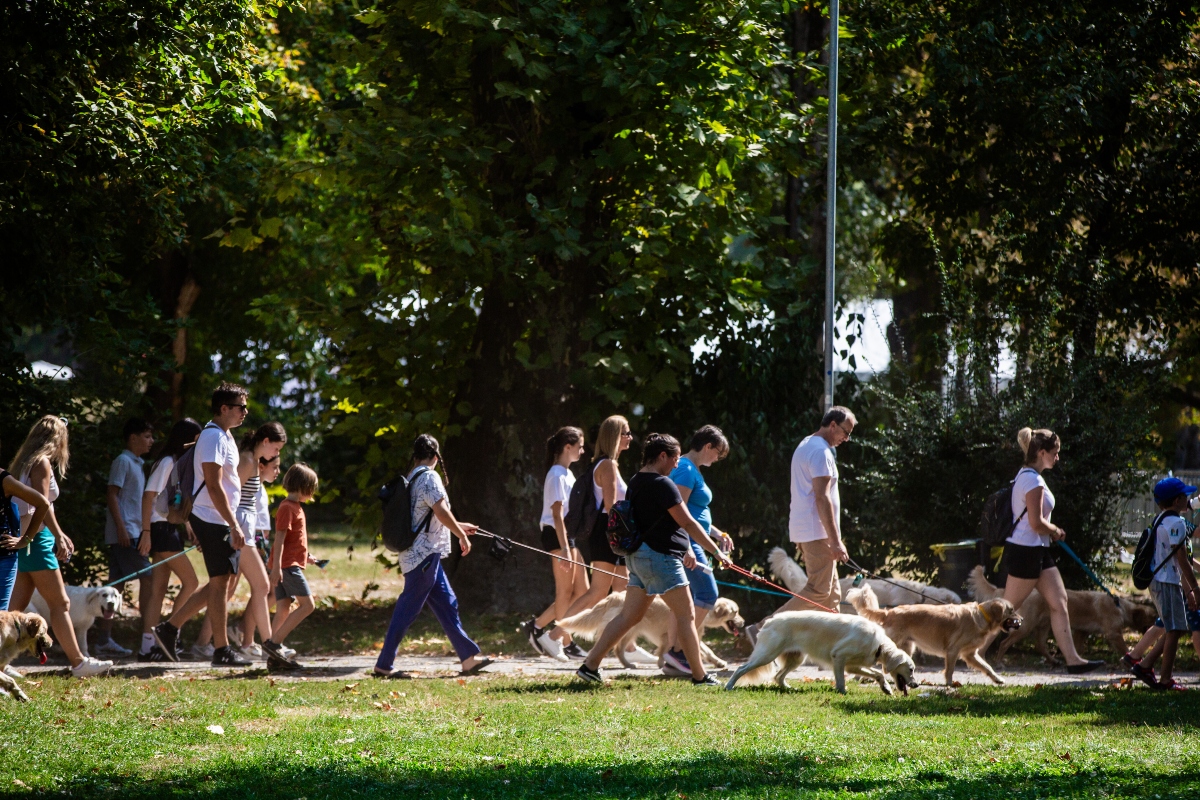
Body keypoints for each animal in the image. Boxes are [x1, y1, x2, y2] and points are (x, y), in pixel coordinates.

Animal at [556, 594, 744, 671]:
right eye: (735, 612)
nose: (743, 623)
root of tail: (613, 597)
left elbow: (704, 651)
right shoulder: (673, 633)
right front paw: (663, 662)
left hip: (630, 631)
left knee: (618, 650)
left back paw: (628, 664)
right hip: (627, 627)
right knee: (608, 646)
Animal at [724, 614, 912, 695]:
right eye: (911, 669)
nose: (916, 684)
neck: (878, 644)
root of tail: (769, 621)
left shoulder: (852, 666)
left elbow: (878, 673)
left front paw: (886, 688)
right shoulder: (838, 657)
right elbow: (841, 681)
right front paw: (842, 693)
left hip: (796, 658)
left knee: (778, 676)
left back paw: (790, 689)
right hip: (766, 655)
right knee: (740, 668)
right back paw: (728, 686)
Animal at [844, 585, 1022, 686]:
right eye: (1012, 610)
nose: (1022, 619)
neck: (982, 617)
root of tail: (890, 612)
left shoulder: (969, 654)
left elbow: (987, 667)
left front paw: (998, 679)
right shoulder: (953, 650)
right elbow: (949, 670)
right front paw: (949, 685)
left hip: (906, 648)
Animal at [964, 563, 1152, 662]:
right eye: (1152, 618)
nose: (1153, 630)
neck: (1121, 607)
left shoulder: (1081, 632)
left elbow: (1077, 647)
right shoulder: (1113, 633)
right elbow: (1124, 647)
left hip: (1044, 625)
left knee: (1040, 645)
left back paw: (1054, 660)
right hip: (1026, 626)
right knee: (1004, 643)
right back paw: (998, 661)